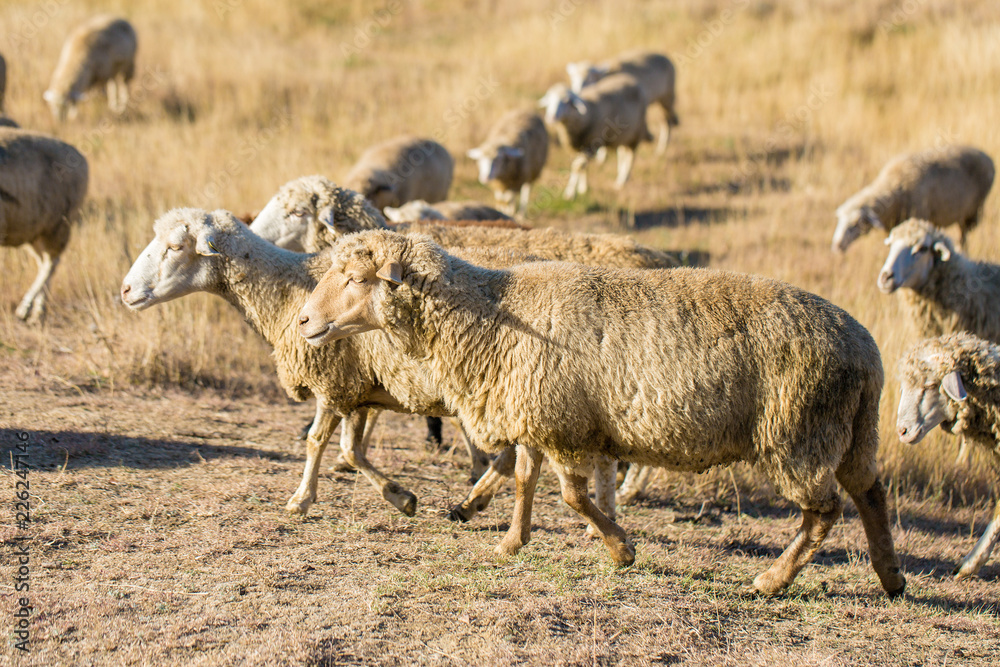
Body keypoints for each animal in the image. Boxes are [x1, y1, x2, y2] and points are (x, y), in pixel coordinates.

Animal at [0, 127, 89, 323]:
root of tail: (79, 155)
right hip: (34, 232)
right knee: (44, 262)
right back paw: (38, 311)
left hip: (58, 227)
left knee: (51, 263)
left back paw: (27, 309)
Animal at [297, 230, 907, 597]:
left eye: (357, 279)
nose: (304, 322)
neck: (490, 315)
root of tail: (866, 349)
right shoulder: (537, 416)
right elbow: (525, 480)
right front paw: (512, 541)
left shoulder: (563, 425)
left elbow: (572, 495)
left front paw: (621, 549)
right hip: (852, 431)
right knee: (870, 493)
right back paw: (891, 577)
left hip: (799, 431)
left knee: (824, 512)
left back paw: (772, 580)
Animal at [832, 146, 994, 253]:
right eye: (840, 220)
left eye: (855, 224)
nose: (837, 245)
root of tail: (987, 156)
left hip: (973, 210)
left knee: (964, 236)